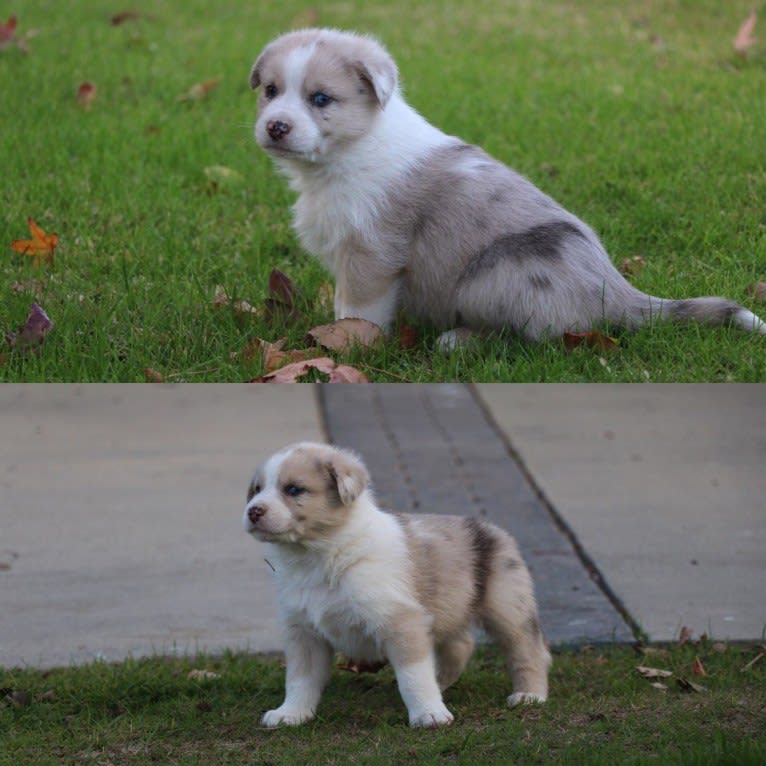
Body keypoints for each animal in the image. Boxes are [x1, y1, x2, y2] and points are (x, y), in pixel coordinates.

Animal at [243, 440, 548, 728]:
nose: (253, 512)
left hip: (508, 607)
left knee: (530, 651)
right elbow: (299, 680)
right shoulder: (303, 632)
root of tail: (493, 528)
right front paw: (290, 714)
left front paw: (429, 715)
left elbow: (413, 675)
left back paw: (529, 695)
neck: (319, 557)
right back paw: (441, 682)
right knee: (461, 645)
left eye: (294, 489)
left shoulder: (400, 620)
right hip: (448, 607)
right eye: (257, 489)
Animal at [249, 27, 764, 344]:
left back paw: (457, 341)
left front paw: (346, 348)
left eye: (321, 99)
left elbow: (359, 311)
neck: (346, 154)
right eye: (271, 91)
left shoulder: (372, 254)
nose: (275, 127)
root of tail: (618, 293)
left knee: (532, 338)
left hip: (495, 275)